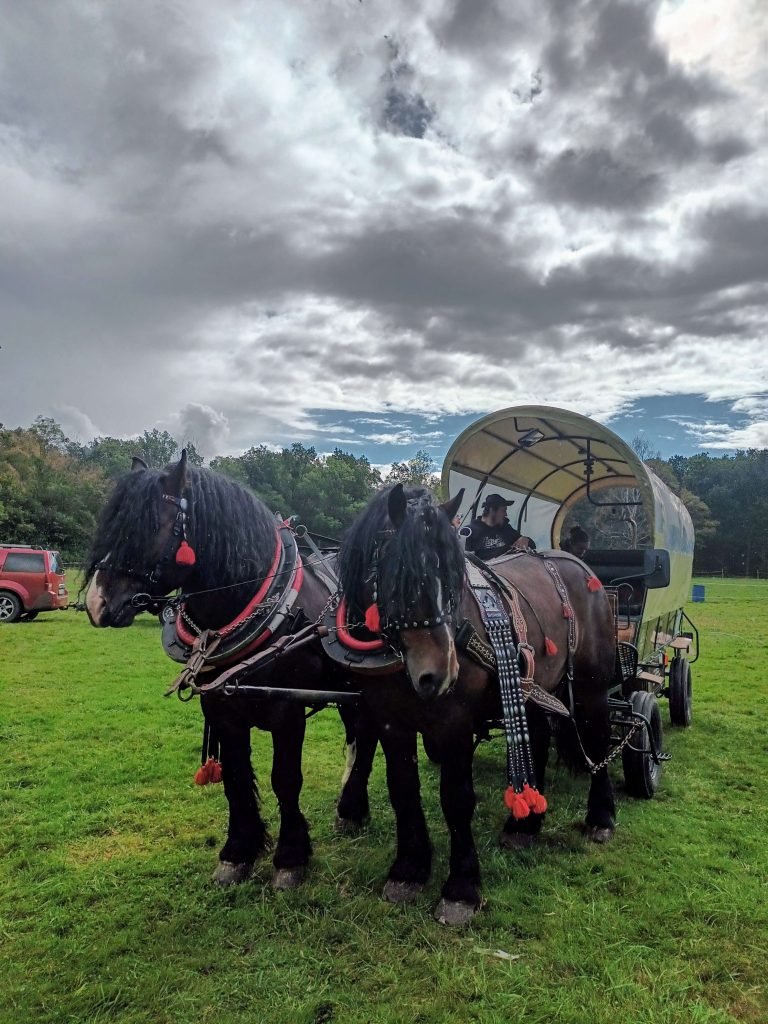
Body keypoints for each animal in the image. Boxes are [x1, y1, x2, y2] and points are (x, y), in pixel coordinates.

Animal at [83, 454, 372, 888]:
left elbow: (285, 780)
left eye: (148, 527)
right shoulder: (221, 709)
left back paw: (352, 808)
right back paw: (351, 809)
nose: (96, 603)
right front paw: (237, 854)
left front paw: (291, 859)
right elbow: (235, 777)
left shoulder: (288, 712)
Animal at [337, 483, 618, 925]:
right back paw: (525, 827)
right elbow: (402, 790)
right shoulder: (390, 722)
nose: (440, 674)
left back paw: (601, 816)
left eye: (454, 577)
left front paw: (461, 888)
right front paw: (408, 870)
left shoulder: (454, 723)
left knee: (598, 738)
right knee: (538, 740)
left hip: (592, 688)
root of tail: (579, 565)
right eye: (403, 577)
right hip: (532, 687)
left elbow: (456, 799)